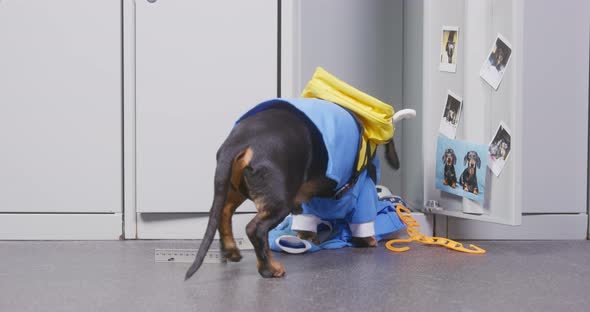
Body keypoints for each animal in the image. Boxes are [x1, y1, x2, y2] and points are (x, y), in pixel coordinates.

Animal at [185, 101, 408, 280]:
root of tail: (241, 141)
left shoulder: (308, 200)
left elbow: (307, 222)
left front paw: (308, 238)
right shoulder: (363, 192)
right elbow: (362, 222)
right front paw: (367, 240)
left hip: (235, 189)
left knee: (224, 212)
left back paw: (231, 250)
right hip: (278, 202)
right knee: (255, 229)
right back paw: (270, 269)